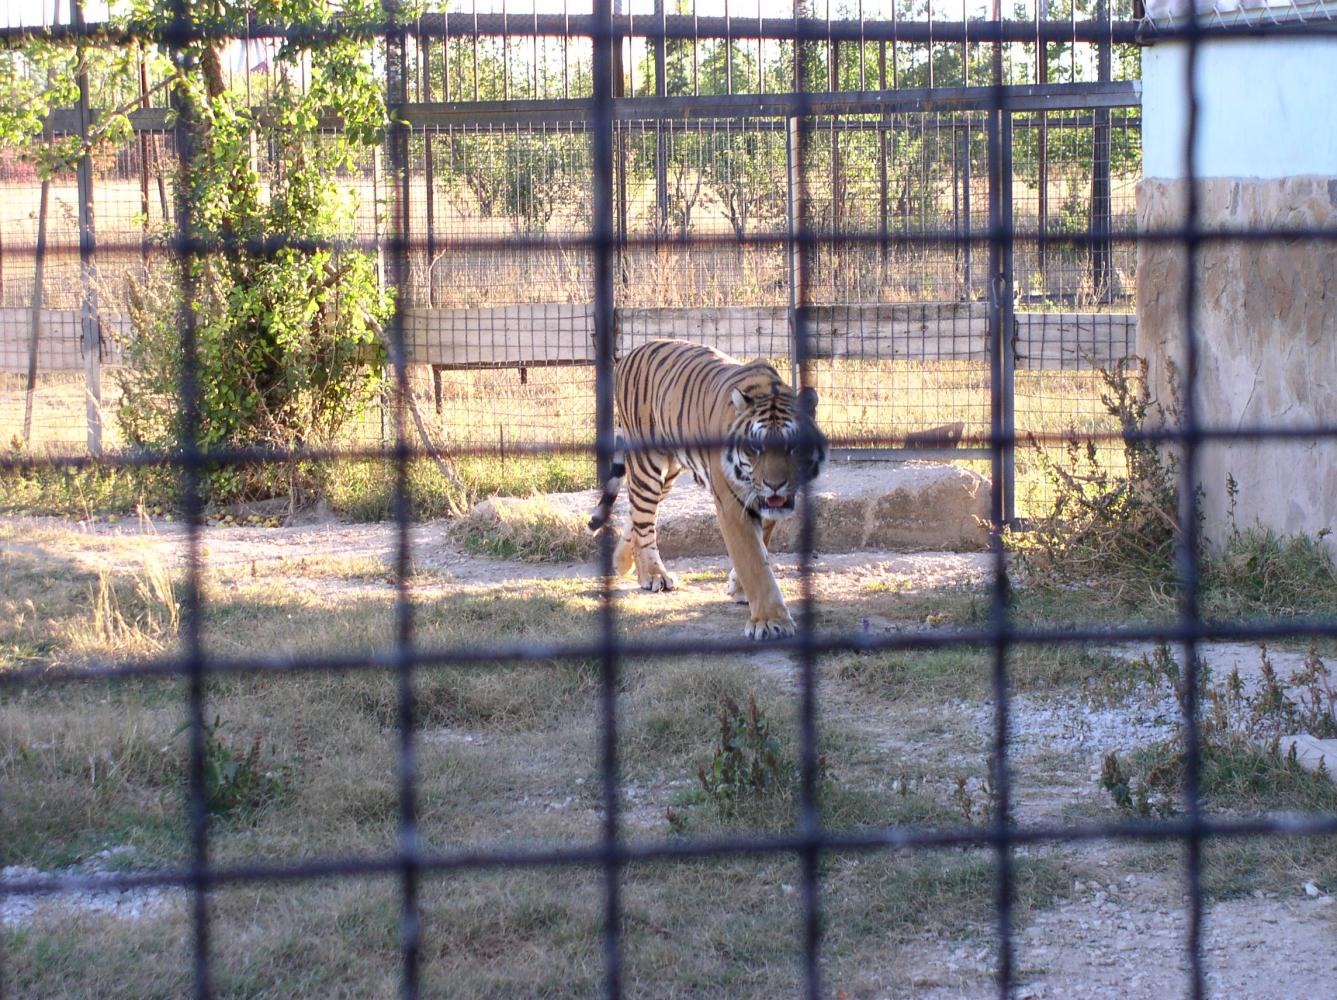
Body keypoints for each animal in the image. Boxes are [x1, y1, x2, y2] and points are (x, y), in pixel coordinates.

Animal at [588, 339, 823, 636]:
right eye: (755, 447)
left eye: (794, 446)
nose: (775, 485)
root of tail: (632, 351)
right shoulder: (733, 505)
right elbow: (753, 560)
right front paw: (771, 621)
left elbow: (761, 548)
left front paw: (739, 589)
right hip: (648, 463)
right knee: (643, 517)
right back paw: (653, 574)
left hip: (669, 472)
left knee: (639, 513)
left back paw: (624, 563)